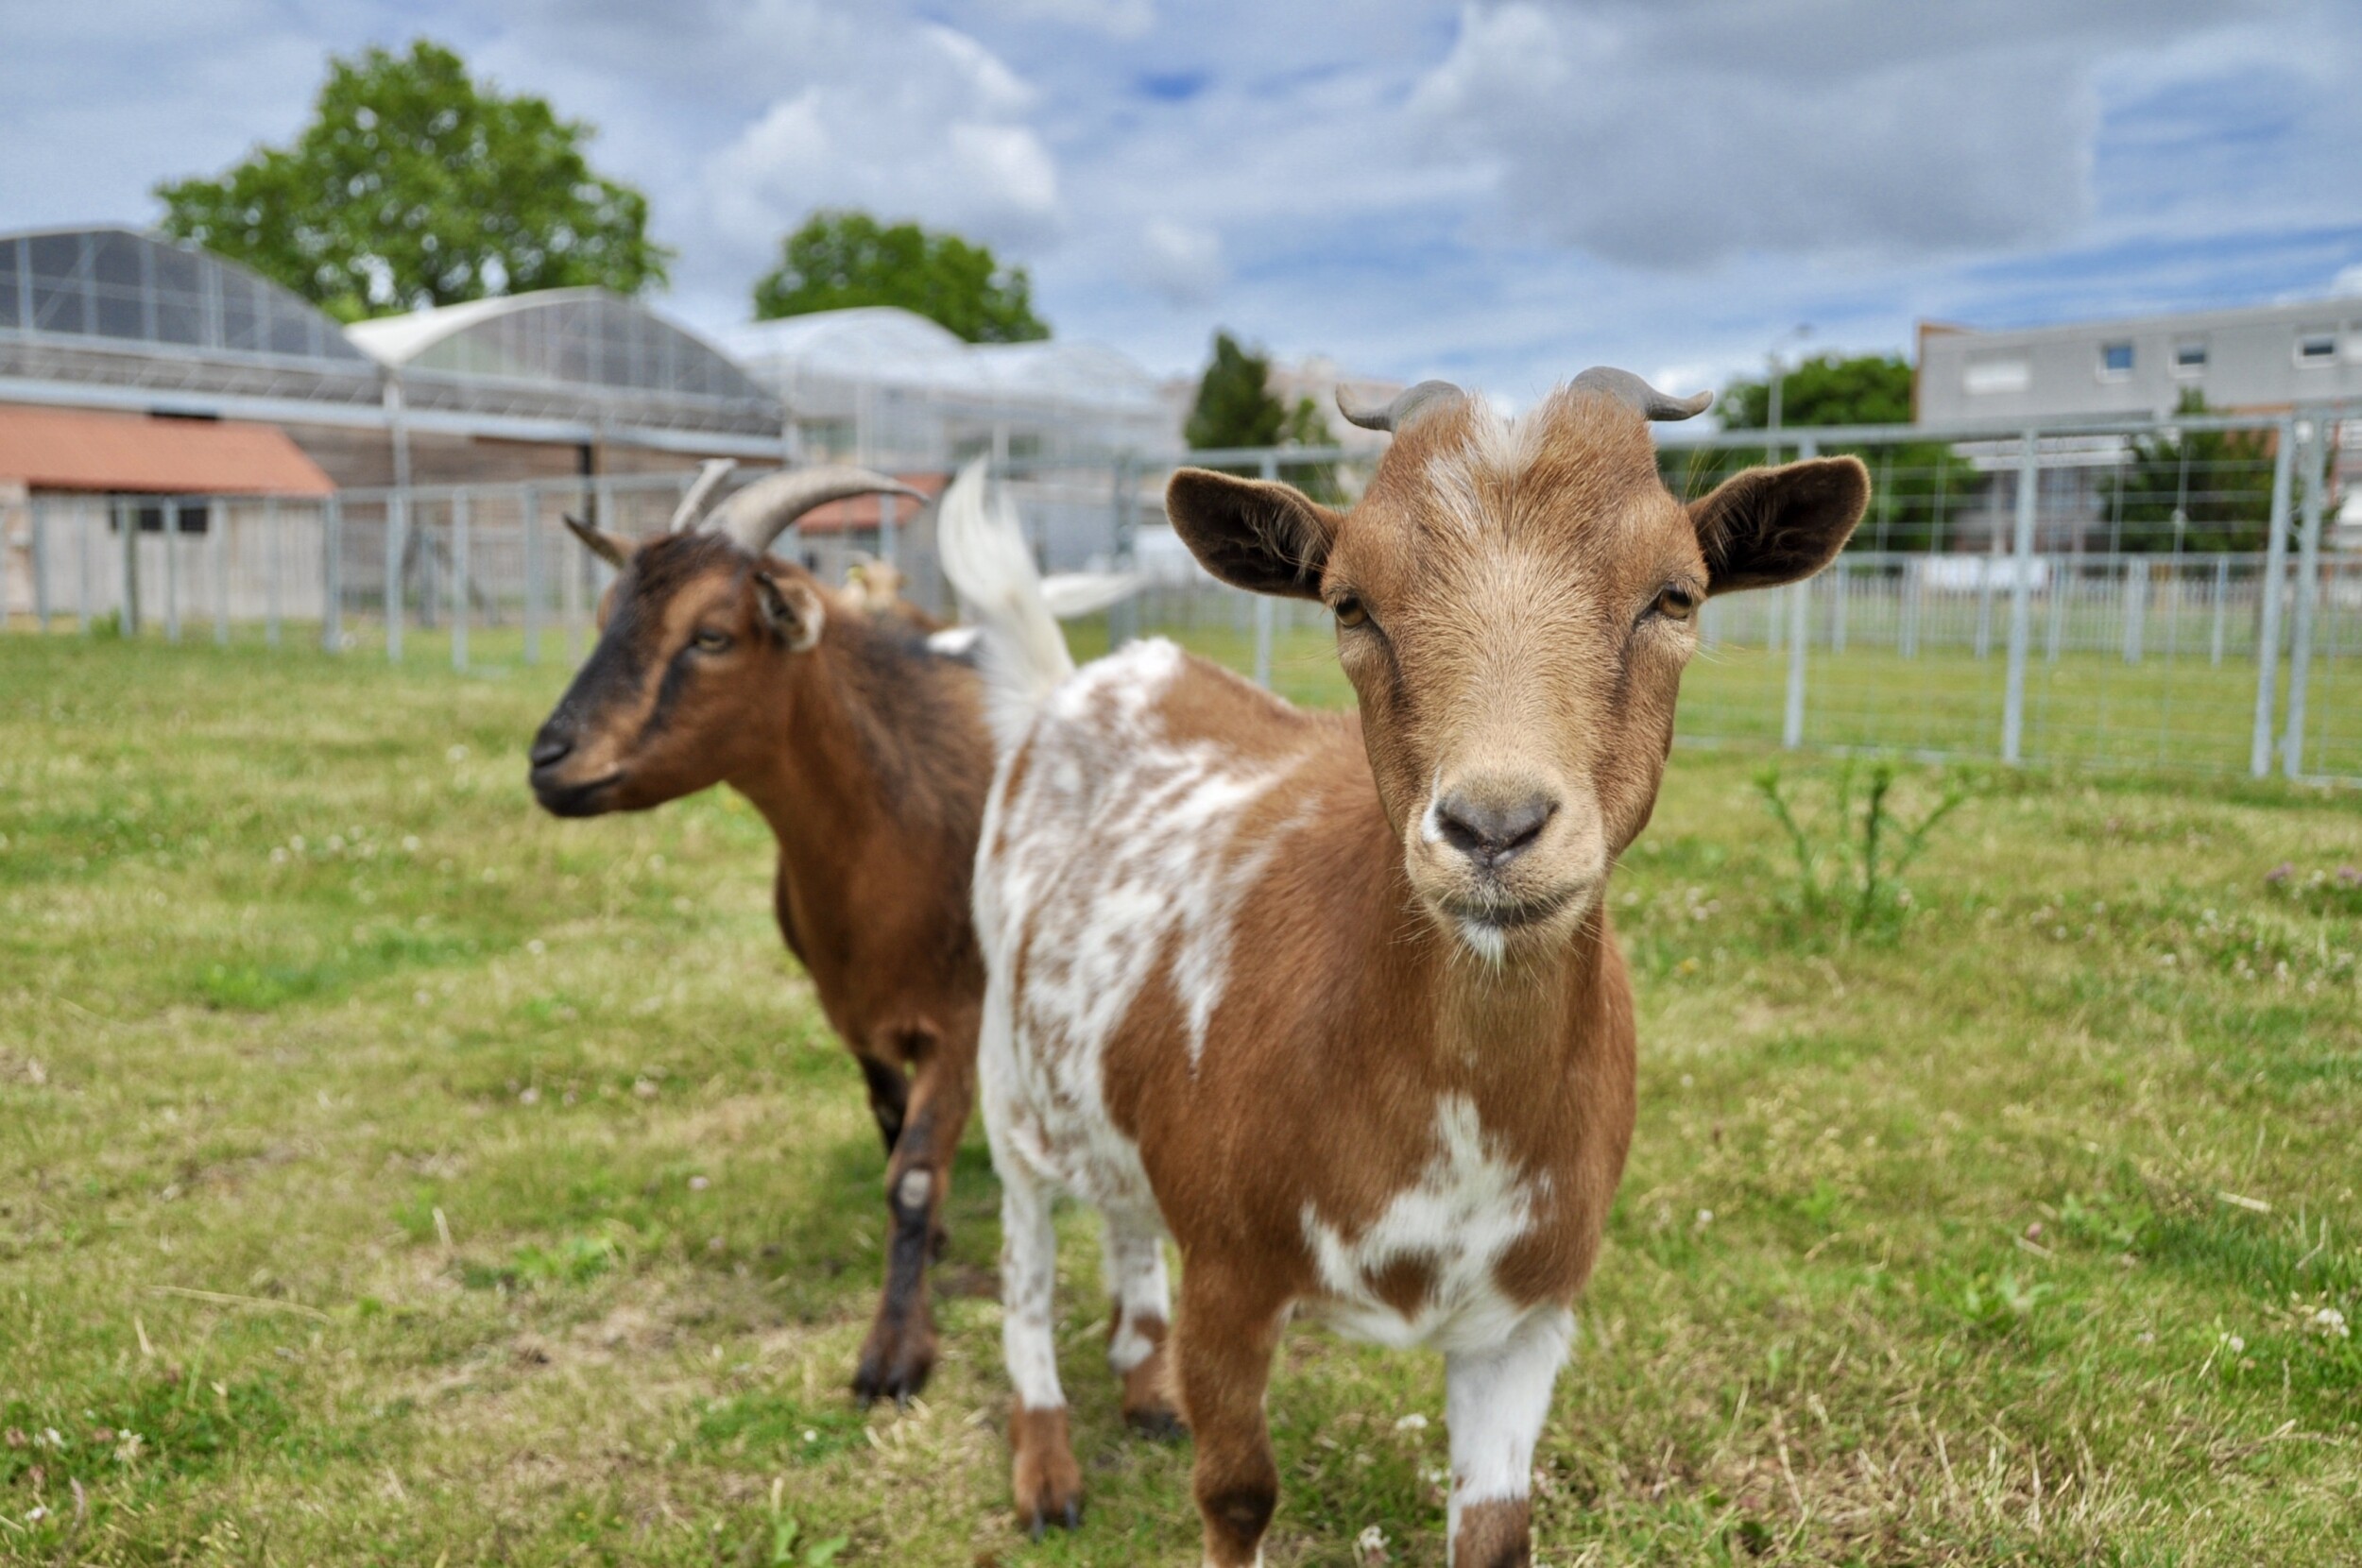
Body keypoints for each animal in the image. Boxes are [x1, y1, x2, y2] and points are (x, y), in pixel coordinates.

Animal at [524, 463, 987, 1398]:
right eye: (604, 617)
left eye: (710, 635)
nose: (549, 760)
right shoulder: (852, 1012)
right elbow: (892, 1131)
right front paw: (931, 1252)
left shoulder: (958, 1018)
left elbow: (914, 1177)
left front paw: (895, 1353)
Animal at [935, 373, 1861, 1559]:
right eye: (1347, 603)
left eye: (1677, 595)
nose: (1494, 826)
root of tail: (1078, 681)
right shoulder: (1228, 1274)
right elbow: (1236, 1492)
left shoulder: (1529, 1314)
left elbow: (1497, 1530)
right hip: (1011, 1085)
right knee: (1025, 1265)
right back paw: (1046, 1465)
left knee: (1124, 1209)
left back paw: (1143, 1388)